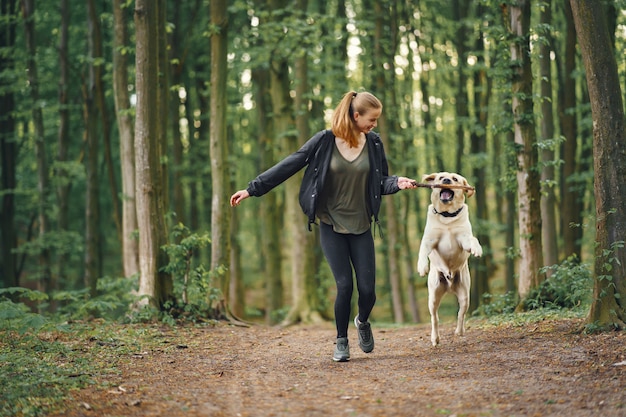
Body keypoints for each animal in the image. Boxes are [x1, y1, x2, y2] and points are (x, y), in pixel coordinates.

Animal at [414, 171, 482, 344]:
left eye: (455, 179)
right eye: (440, 177)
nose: (446, 180)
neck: (447, 216)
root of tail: (450, 285)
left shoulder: (463, 239)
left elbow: (473, 239)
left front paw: (477, 249)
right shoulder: (429, 240)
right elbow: (422, 251)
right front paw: (422, 267)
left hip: (465, 295)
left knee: (461, 314)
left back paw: (459, 331)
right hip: (433, 296)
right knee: (435, 318)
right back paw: (435, 338)